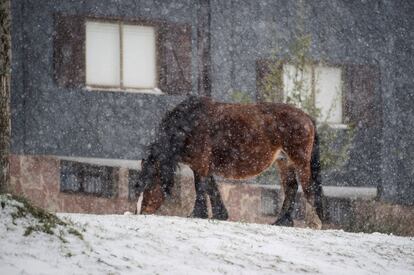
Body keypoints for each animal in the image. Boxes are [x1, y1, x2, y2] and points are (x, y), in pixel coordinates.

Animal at [133, 96, 324, 230]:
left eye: (149, 183)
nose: (140, 213)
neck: (189, 124)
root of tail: (307, 117)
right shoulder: (202, 165)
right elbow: (211, 187)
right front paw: (220, 214)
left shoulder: (200, 164)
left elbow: (201, 187)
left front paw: (198, 214)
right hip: (284, 162)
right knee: (291, 187)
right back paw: (281, 221)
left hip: (300, 161)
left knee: (308, 188)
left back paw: (314, 223)